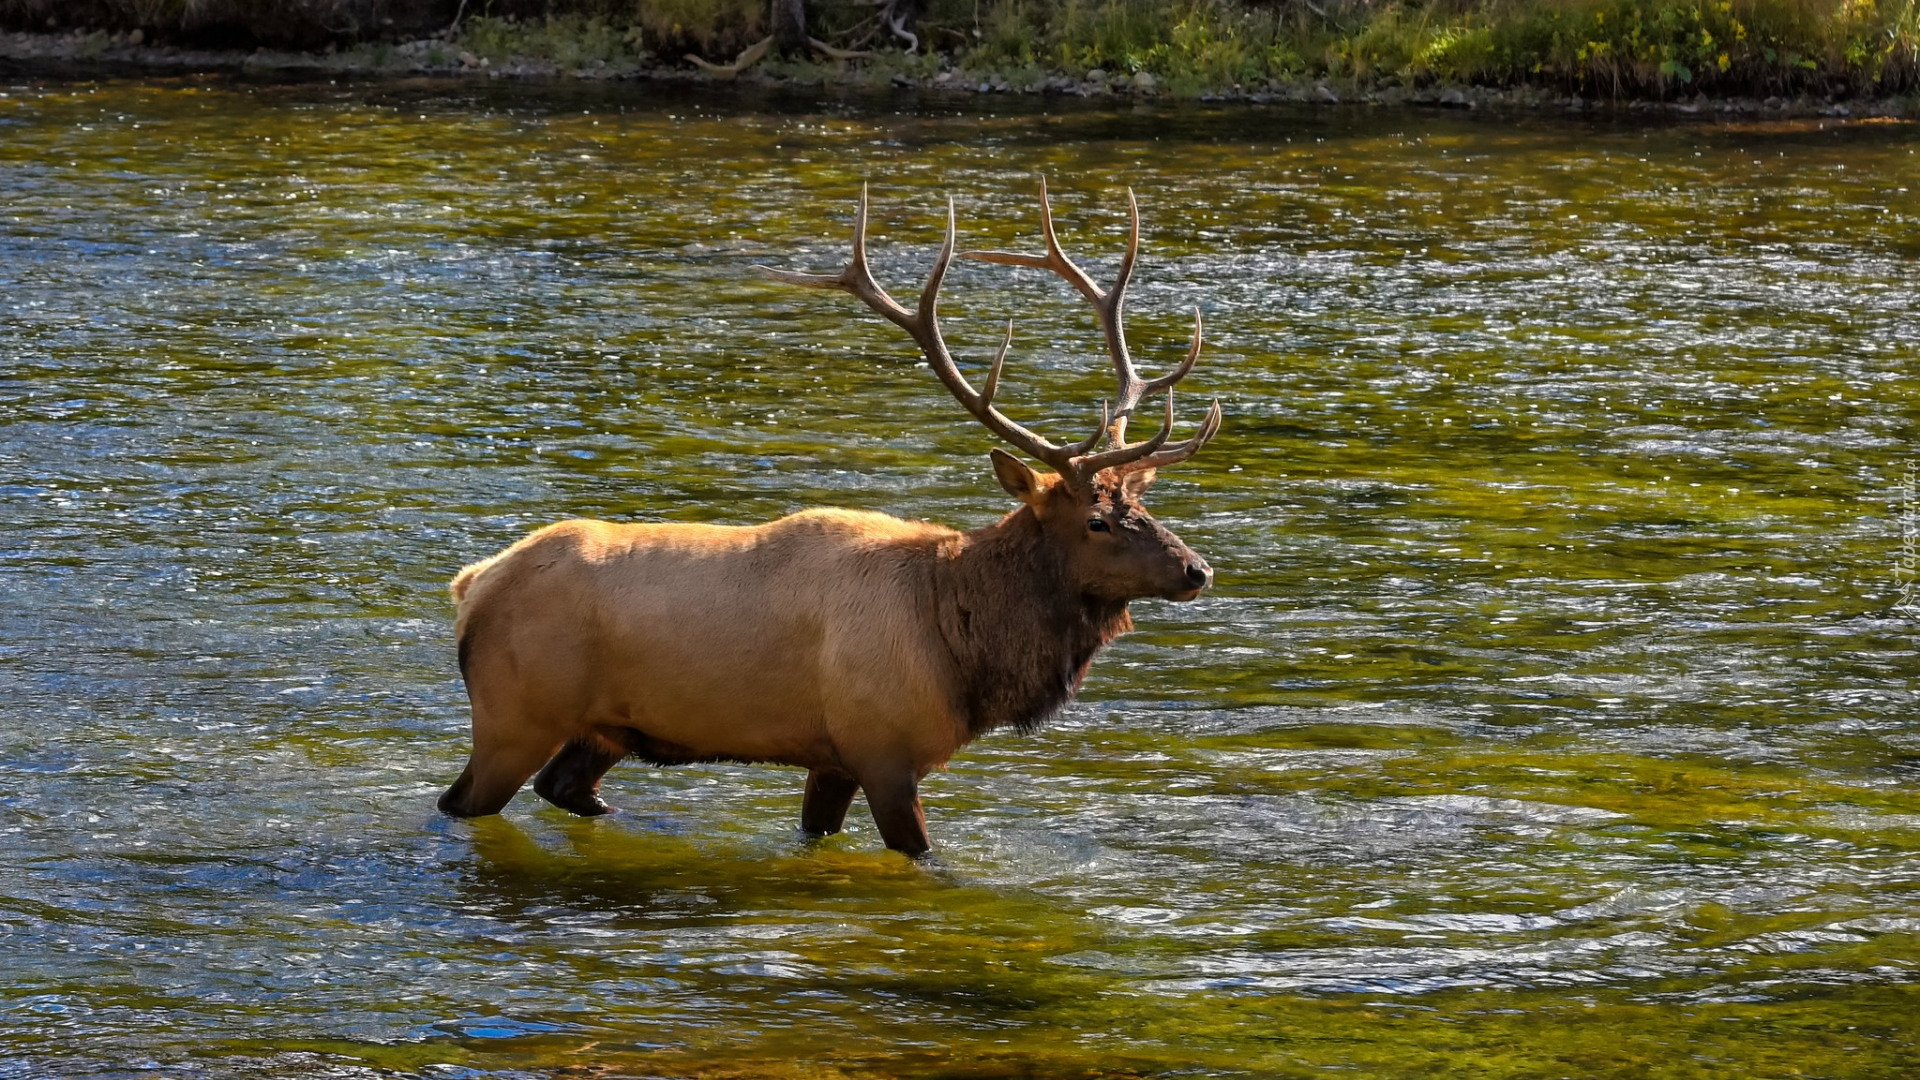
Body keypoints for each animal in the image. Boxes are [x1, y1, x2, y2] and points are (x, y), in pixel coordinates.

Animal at [441, 187, 1221, 857]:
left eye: (1143, 507)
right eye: (1097, 521)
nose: (1196, 570)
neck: (961, 643)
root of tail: (472, 584)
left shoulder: (835, 759)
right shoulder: (883, 748)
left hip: (601, 729)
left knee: (564, 788)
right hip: (514, 714)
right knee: (462, 801)